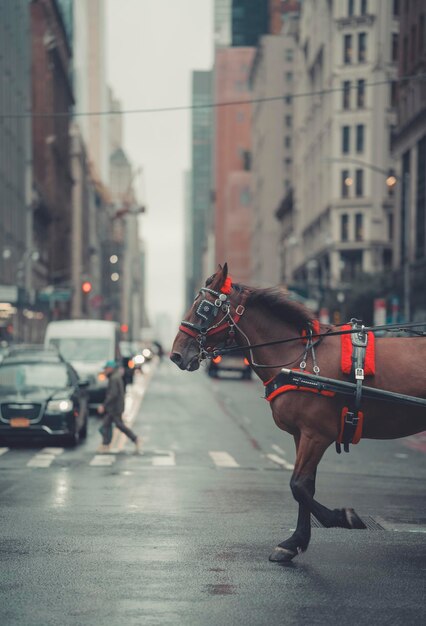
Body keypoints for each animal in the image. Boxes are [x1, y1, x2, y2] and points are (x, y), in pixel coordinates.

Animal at [171, 264, 426, 560]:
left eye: (204, 308)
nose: (176, 354)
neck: (298, 356)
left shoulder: (317, 434)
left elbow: (298, 486)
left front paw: (343, 518)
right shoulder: (301, 434)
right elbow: (306, 487)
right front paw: (295, 541)